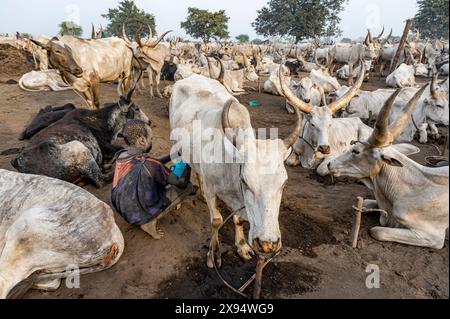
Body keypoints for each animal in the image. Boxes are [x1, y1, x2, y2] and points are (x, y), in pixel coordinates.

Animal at [11, 87, 149, 188]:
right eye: (137, 108)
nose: (150, 121)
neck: (104, 121)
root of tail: (19, 163)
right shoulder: (106, 146)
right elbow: (120, 148)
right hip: (78, 147)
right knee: (101, 180)